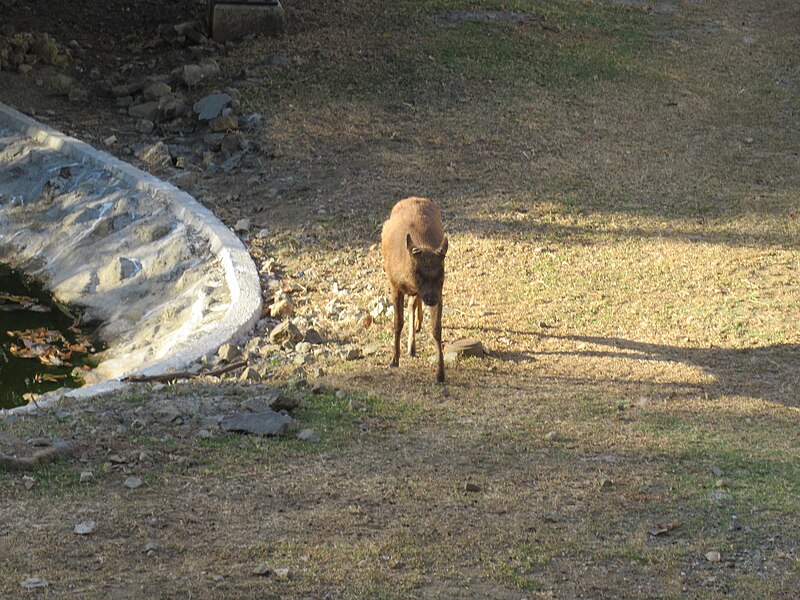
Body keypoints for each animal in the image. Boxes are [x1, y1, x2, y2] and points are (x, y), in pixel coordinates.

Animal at [380, 199, 446, 382]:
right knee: (412, 304)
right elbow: (397, 322)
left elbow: (436, 329)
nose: (431, 299)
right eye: (417, 273)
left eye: (442, 273)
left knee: (413, 304)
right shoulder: (395, 285)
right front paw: (394, 360)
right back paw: (411, 345)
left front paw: (440, 373)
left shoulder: (439, 292)